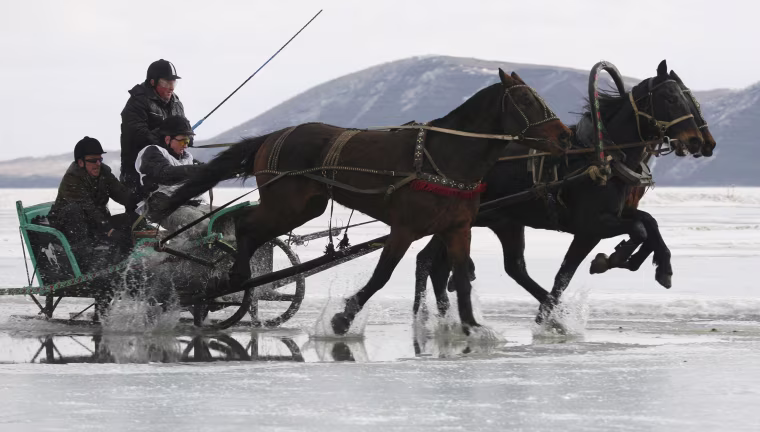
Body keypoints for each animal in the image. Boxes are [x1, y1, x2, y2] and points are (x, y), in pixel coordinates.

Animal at [161, 69, 572, 335]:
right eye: (525, 100)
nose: (565, 136)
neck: (445, 157)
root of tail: (274, 135)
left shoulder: (458, 228)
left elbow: (462, 276)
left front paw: (472, 325)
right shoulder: (405, 227)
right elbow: (382, 275)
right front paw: (343, 318)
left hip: (304, 206)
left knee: (252, 231)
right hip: (285, 204)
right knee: (247, 228)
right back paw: (233, 277)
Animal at [412, 60, 705, 326]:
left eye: (687, 99)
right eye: (670, 98)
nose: (696, 140)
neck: (601, 157)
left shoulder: (611, 217)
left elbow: (647, 224)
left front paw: (659, 267)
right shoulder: (592, 226)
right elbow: (631, 234)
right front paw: (612, 259)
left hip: (504, 222)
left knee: (503, 267)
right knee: (429, 261)